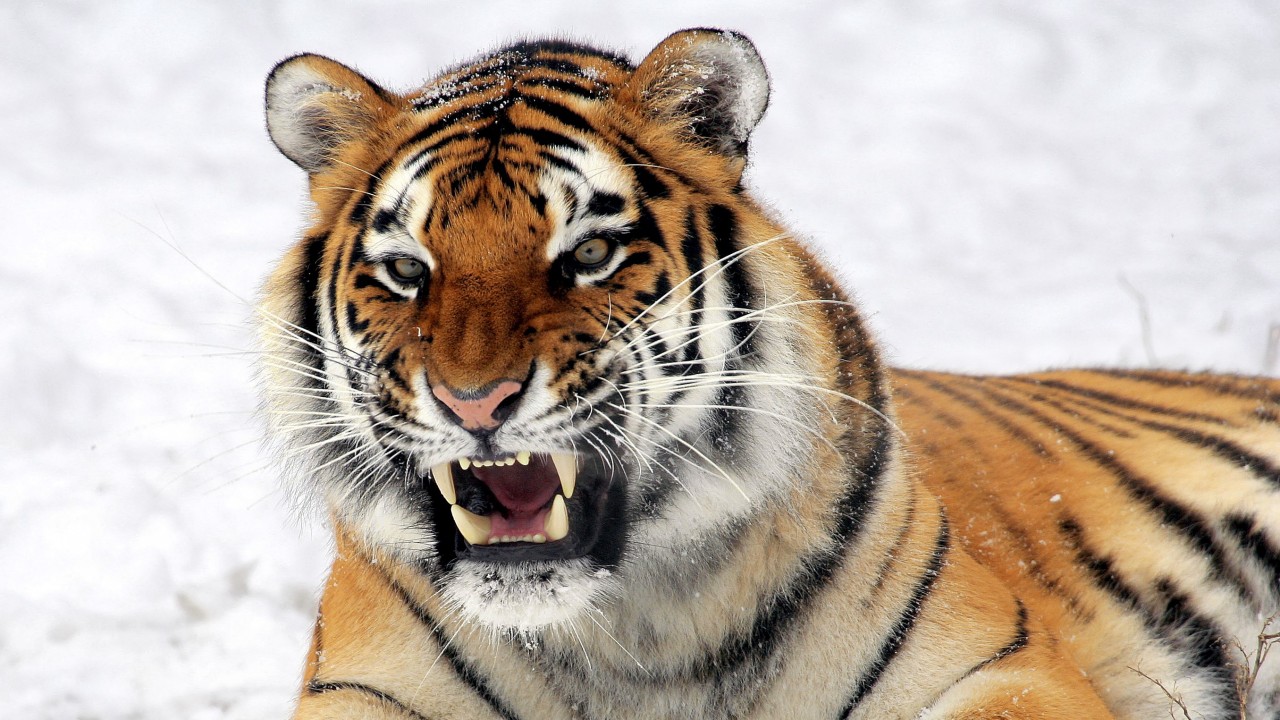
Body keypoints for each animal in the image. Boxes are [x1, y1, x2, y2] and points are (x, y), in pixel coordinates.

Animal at [258, 28, 1280, 719]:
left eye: (587, 253)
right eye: (406, 270)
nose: (475, 402)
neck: (630, 634)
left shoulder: (1000, 666)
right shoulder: (366, 687)